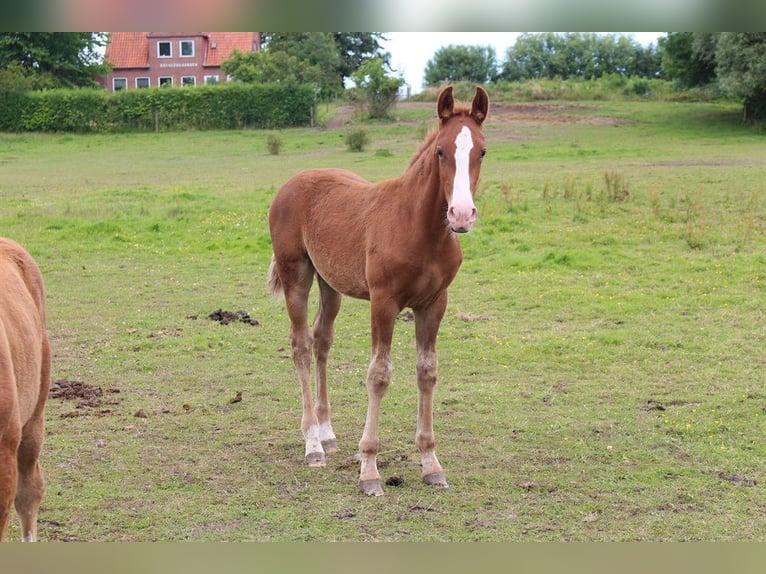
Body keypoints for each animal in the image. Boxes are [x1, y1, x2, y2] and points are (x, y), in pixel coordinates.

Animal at [268, 86, 488, 500]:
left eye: (482, 151)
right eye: (440, 151)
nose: (461, 215)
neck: (420, 229)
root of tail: (292, 181)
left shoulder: (434, 303)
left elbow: (427, 371)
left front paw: (431, 464)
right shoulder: (384, 303)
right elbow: (379, 375)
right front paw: (369, 468)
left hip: (330, 282)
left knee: (322, 340)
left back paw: (328, 433)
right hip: (296, 275)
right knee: (301, 345)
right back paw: (312, 444)